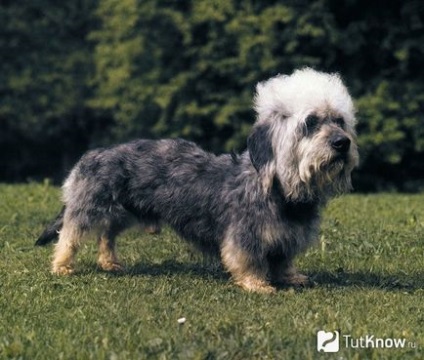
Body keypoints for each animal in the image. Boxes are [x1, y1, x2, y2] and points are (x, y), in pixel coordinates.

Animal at [35, 67, 358, 292]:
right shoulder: (244, 234)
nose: (342, 143)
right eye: (310, 122)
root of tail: (92, 155)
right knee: (69, 234)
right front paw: (257, 284)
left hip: (124, 212)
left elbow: (282, 260)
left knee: (107, 234)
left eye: (339, 121)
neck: (279, 189)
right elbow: (246, 259)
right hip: (88, 206)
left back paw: (109, 262)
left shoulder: (286, 238)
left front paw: (291, 277)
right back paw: (62, 266)